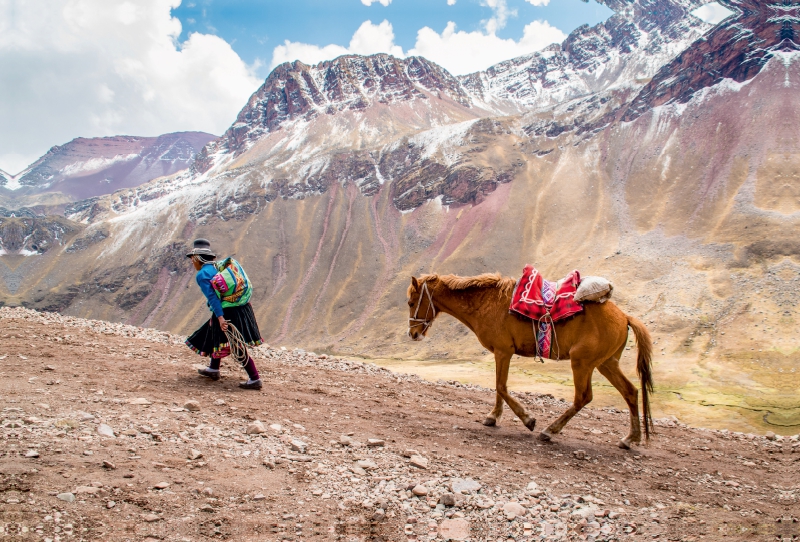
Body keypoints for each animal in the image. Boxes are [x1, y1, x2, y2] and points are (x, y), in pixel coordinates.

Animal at [410, 274, 652, 448]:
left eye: (411, 302)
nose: (412, 334)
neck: (485, 303)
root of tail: (624, 317)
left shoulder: (503, 351)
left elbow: (501, 386)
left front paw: (528, 420)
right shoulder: (500, 353)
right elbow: (499, 388)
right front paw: (492, 417)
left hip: (582, 362)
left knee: (583, 397)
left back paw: (549, 431)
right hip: (606, 363)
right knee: (630, 392)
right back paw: (630, 439)